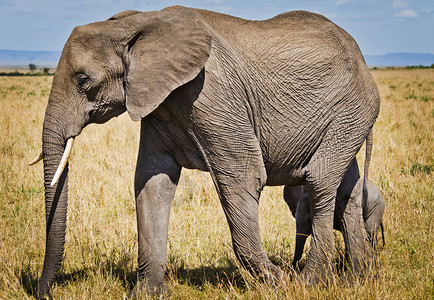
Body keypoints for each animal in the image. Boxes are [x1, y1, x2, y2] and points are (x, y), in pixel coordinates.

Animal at [29, 5, 380, 298]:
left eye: (83, 80)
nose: (44, 293)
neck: (137, 22)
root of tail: (362, 57)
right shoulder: (160, 102)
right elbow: (152, 183)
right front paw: (147, 294)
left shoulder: (211, 94)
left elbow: (242, 177)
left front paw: (278, 282)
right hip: (348, 119)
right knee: (346, 191)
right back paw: (357, 279)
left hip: (351, 109)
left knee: (319, 181)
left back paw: (309, 282)